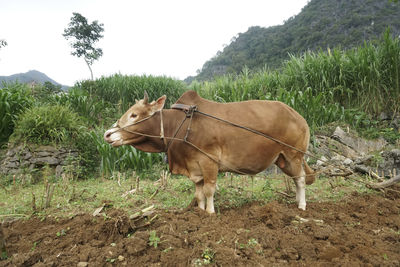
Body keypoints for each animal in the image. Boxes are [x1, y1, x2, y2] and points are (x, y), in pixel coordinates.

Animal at [104, 91, 314, 215]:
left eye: (134, 114)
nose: (107, 134)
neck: (179, 125)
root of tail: (299, 117)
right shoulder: (195, 169)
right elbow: (199, 194)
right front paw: (201, 212)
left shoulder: (209, 162)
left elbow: (209, 190)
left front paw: (210, 213)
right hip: (282, 159)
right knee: (296, 179)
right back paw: (296, 201)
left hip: (294, 155)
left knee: (301, 179)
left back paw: (302, 206)